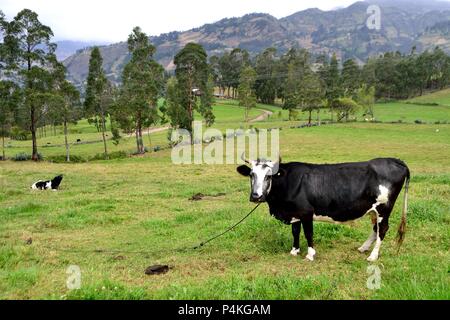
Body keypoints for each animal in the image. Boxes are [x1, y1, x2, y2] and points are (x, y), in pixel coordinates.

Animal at [237, 156, 410, 262]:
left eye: (269, 176)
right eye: (251, 174)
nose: (256, 196)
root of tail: (394, 160)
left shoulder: (306, 212)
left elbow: (308, 233)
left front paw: (310, 255)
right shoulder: (295, 212)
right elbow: (295, 232)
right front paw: (294, 251)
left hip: (384, 208)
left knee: (383, 229)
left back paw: (373, 256)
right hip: (373, 210)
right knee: (375, 228)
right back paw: (363, 248)